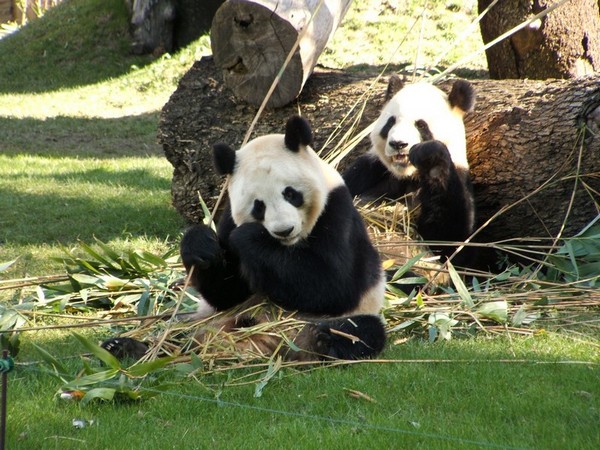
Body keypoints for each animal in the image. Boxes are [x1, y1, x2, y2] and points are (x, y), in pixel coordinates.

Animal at [103, 115, 384, 362]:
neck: (283, 249)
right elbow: (228, 293)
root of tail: (270, 343)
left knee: (360, 330)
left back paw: (322, 341)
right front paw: (201, 246)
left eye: (290, 193)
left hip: (341, 316)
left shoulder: (337, 211)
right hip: (205, 320)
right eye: (258, 206)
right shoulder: (228, 217)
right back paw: (127, 347)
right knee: (174, 330)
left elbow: (332, 285)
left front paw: (249, 237)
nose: (284, 230)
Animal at [342, 77, 478, 268]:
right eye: (390, 122)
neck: (407, 175)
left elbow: (451, 244)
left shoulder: (458, 176)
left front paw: (430, 157)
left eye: (421, 125)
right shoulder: (369, 170)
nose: (398, 143)